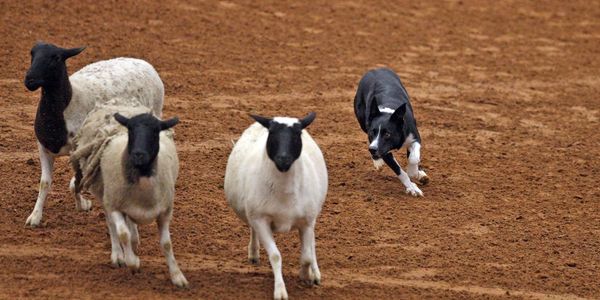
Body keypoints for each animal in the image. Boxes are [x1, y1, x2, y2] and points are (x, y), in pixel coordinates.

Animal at [69, 99, 185, 288]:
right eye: (130, 130)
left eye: (156, 131)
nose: (138, 155)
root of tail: (119, 102)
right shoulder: (115, 206)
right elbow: (122, 234)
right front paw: (133, 262)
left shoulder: (165, 212)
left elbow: (167, 244)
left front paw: (177, 276)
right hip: (105, 195)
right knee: (113, 225)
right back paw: (118, 255)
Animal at [225, 112, 328, 300]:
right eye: (272, 133)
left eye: (297, 134)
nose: (283, 159)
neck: (285, 193)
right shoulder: (260, 219)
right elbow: (275, 256)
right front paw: (280, 290)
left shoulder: (307, 221)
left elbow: (307, 256)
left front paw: (307, 275)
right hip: (253, 211)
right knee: (253, 229)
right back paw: (254, 253)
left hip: (313, 213)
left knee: (312, 245)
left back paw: (316, 273)